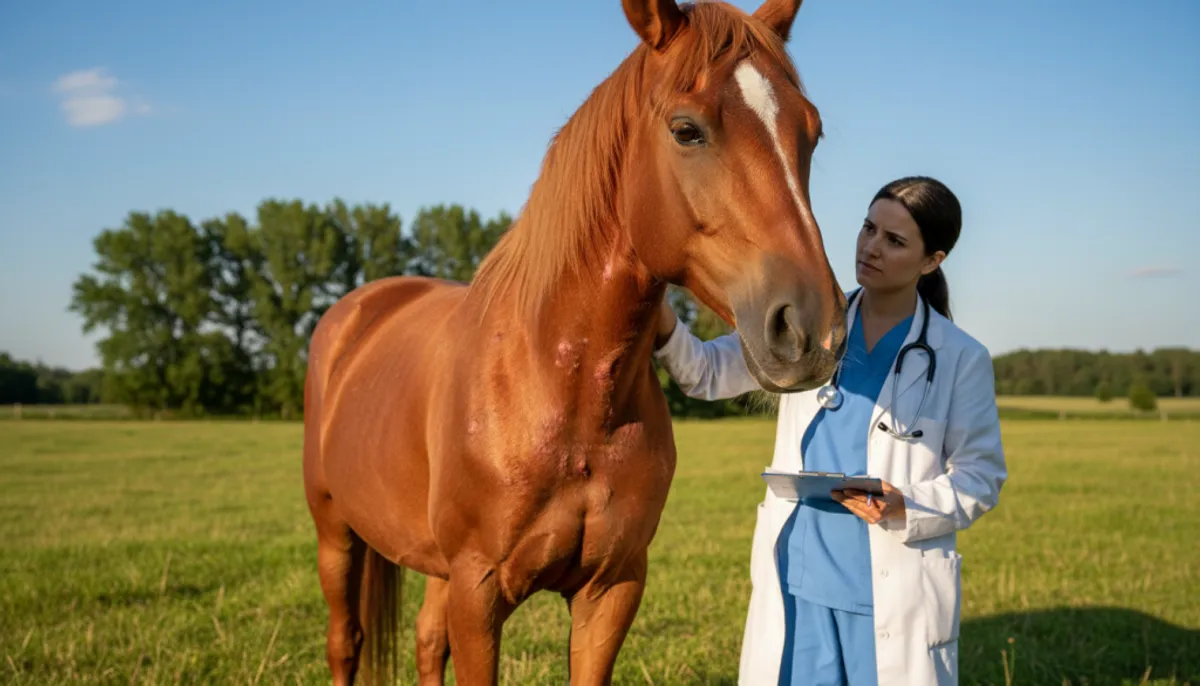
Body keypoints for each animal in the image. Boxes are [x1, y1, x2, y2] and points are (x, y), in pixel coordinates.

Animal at [302, 0, 847, 683]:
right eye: (687, 130)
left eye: (812, 133)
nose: (813, 329)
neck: (559, 387)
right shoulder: (477, 592)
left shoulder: (611, 589)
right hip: (335, 533)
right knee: (344, 641)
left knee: (427, 641)